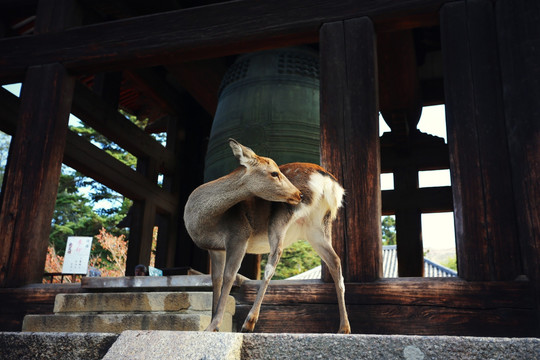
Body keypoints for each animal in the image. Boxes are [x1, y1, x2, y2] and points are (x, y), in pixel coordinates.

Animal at [184, 139, 352, 334]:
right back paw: (344, 328)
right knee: (335, 261)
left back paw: (249, 322)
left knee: (273, 259)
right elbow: (215, 281)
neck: (204, 223)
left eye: (278, 170)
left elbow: (229, 276)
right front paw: (213, 325)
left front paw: (213, 326)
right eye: (274, 173)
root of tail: (329, 183)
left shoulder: (239, 236)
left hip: (281, 218)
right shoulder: (215, 248)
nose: (298, 194)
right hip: (318, 228)